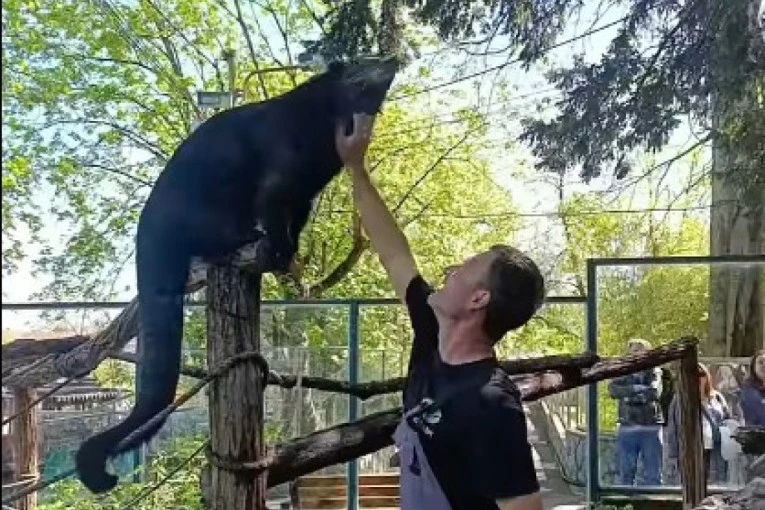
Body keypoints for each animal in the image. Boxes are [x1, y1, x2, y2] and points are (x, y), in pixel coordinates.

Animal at [74, 56, 398, 494]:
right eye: (367, 61)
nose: (392, 58)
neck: (321, 124)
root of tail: (149, 227)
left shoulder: (303, 198)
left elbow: (296, 225)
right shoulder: (280, 184)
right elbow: (276, 217)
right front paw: (279, 251)